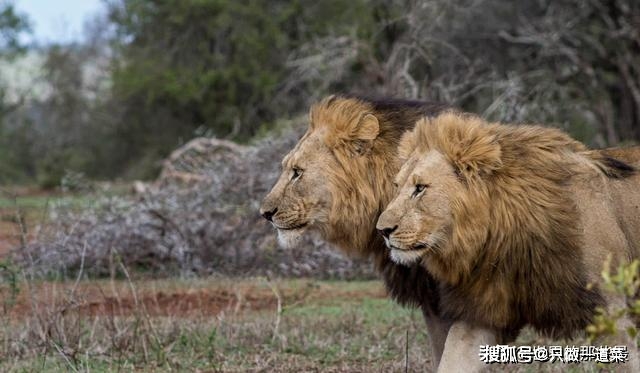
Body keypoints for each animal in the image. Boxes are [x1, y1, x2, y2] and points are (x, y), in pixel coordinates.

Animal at [378, 112, 640, 370]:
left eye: (420, 188)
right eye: (396, 186)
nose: (383, 230)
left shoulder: (611, 311)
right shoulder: (482, 309)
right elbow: (452, 360)